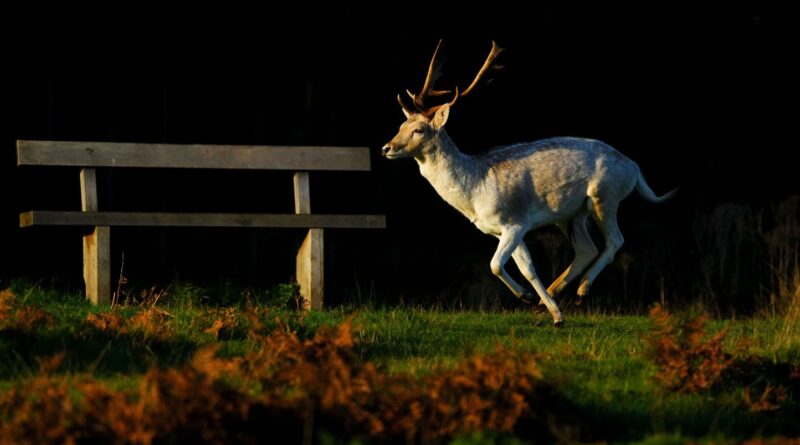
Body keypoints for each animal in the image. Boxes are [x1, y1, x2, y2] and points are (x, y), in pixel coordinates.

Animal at [382, 40, 676, 326]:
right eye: (400, 126)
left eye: (418, 129)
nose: (387, 148)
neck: (475, 191)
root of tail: (634, 167)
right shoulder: (500, 230)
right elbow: (526, 267)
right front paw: (543, 306)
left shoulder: (515, 222)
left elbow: (496, 265)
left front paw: (543, 306)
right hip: (570, 215)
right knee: (586, 248)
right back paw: (558, 291)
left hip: (605, 196)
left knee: (615, 240)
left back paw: (582, 290)